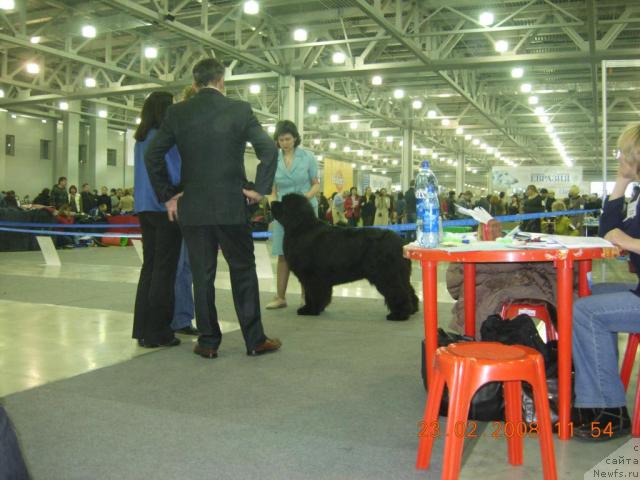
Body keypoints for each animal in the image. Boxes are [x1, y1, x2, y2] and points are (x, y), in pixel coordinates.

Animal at [270, 193, 420, 320]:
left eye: (283, 202)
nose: (272, 202)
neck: (300, 227)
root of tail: (400, 242)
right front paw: (315, 308)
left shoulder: (312, 277)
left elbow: (312, 294)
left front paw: (309, 310)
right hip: (399, 274)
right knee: (408, 290)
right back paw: (412, 310)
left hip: (387, 274)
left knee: (397, 291)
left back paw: (399, 315)